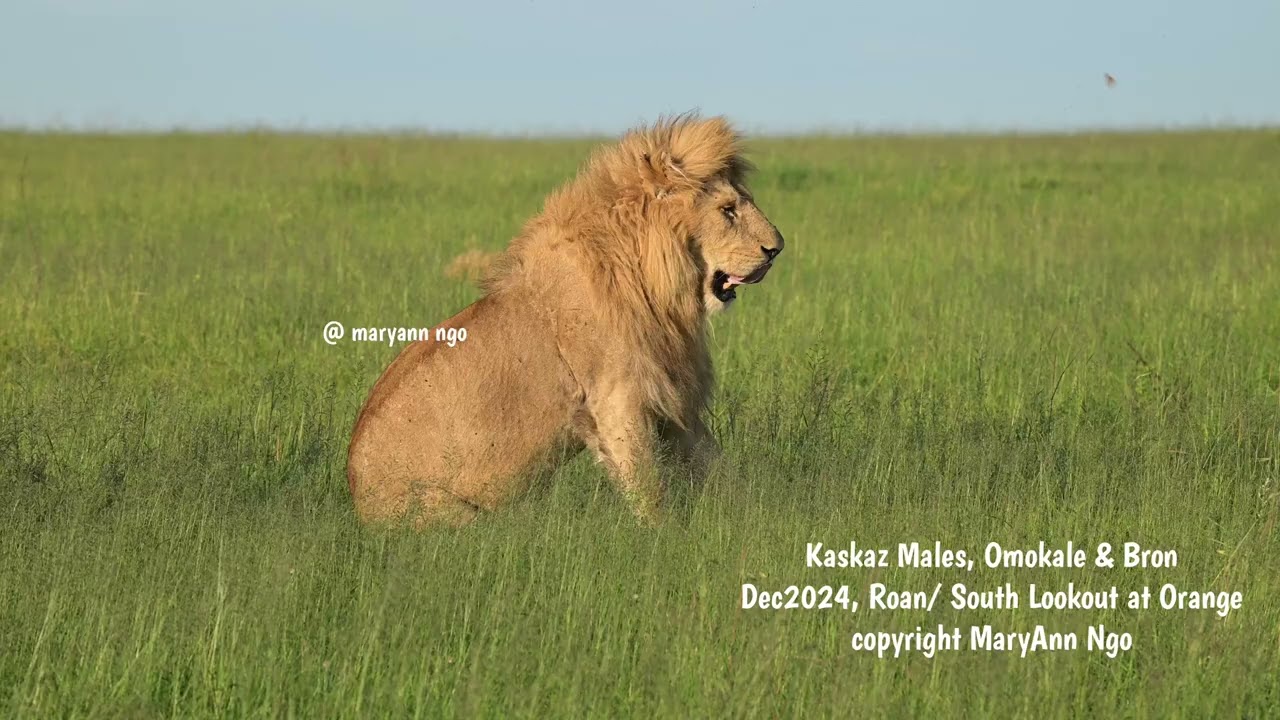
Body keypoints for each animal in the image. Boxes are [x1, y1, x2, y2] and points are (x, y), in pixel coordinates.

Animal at [346, 114, 785, 527]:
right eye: (727, 210)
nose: (777, 249)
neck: (661, 286)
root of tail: (357, 505)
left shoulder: (672, 395)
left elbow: (721, 470)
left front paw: (764, 517)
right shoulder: (617, 398)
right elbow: (649, 490)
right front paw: (665, 541)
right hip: (457, 513)